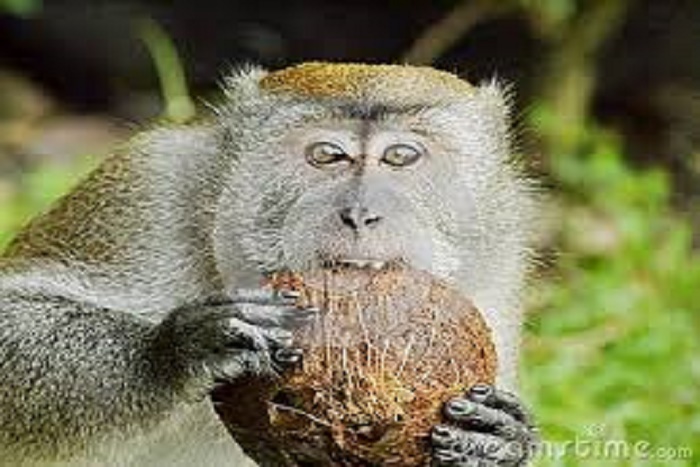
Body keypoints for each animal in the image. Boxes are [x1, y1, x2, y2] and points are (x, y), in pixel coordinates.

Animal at [0, 62, 539, 466]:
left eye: (402, 156)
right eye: (327, 155)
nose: (359, 212)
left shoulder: (500, 256)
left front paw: (499, 440)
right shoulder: (150, 185)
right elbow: (13, 317)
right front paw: (178, 350)